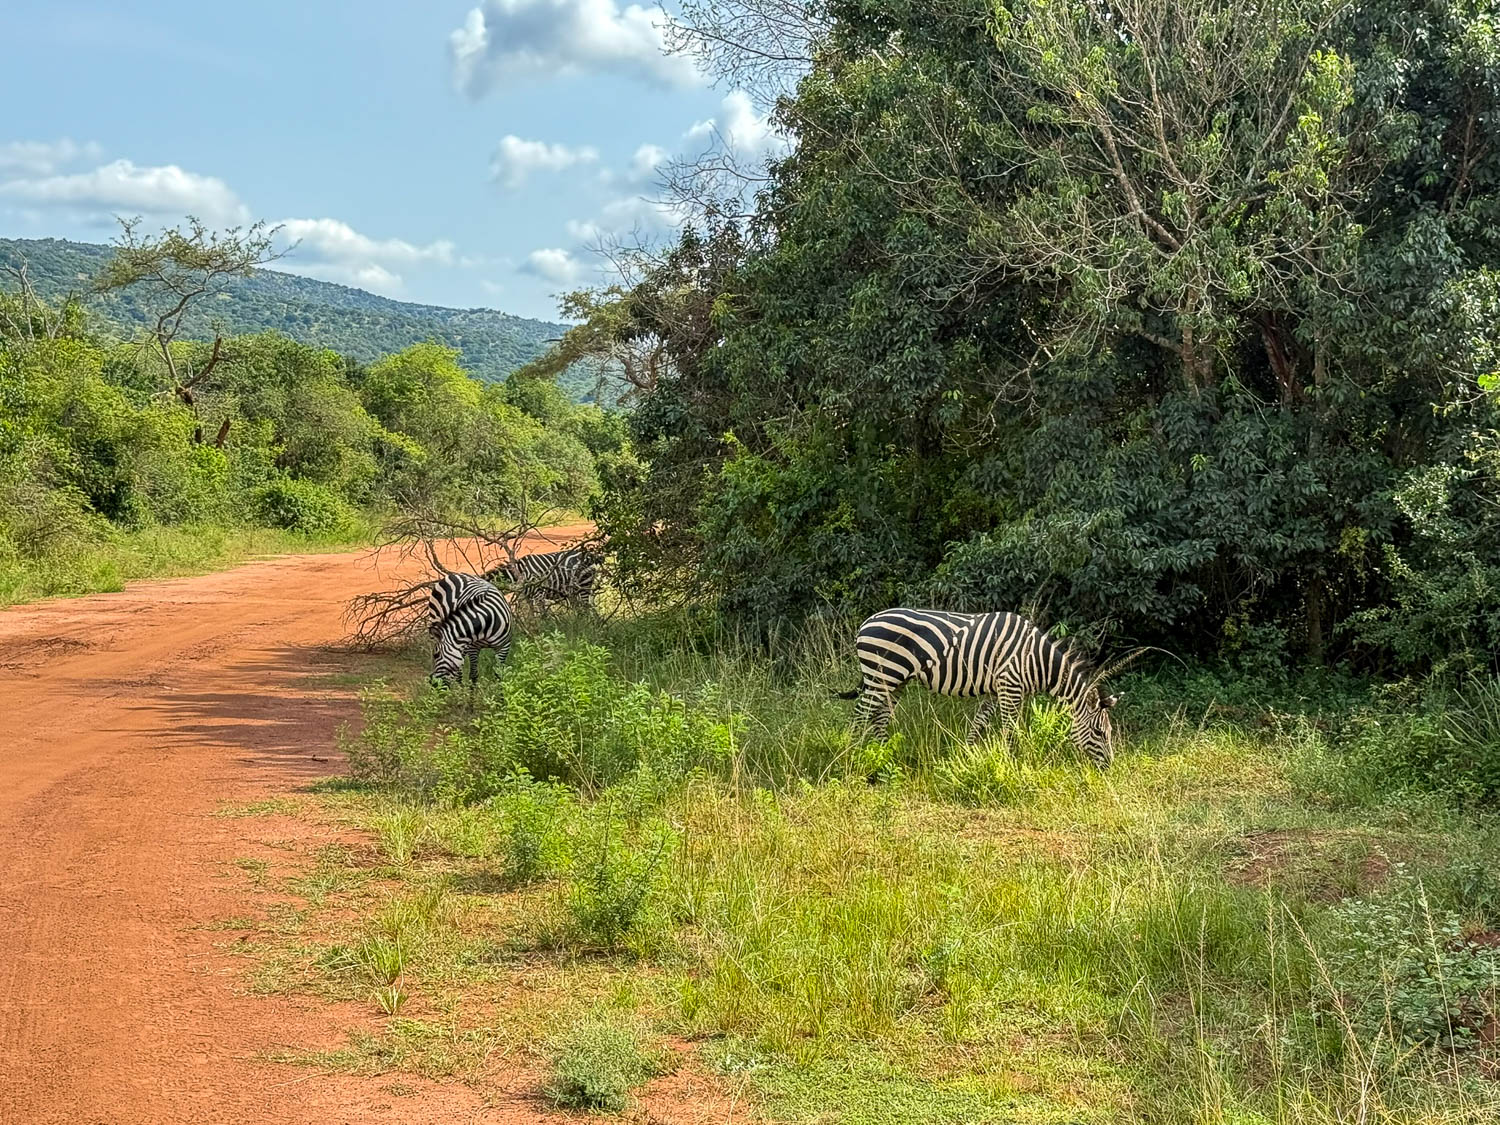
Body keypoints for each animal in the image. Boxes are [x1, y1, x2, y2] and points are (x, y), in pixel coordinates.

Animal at [834, 608, 1118, 767]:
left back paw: (884, 755)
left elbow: (979, 723)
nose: (1109, 768)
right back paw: (848, 754)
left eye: (1110, 732)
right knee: (861, 713)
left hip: (894, 680)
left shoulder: (996, 689)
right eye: (1098, 732)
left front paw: (968, 755)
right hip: (881, 674)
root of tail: (866, 623)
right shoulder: (1010, 686)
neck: (1035, 660)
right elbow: (1010, 730)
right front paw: (1013, 762)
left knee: (879, 716)